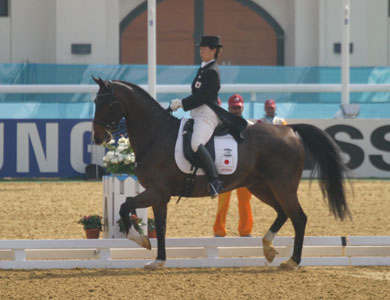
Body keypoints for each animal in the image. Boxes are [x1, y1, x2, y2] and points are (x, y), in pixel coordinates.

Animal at [91, 77, 350, 270]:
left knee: (298, 217)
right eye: (94, 101)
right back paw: (268, 248)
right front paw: (158, 260)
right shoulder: (159, 195)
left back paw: (292, 261)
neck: (156, 134)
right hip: (260, 186)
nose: (97, 137)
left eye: (108, 103)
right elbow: (160, 226)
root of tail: (288, 130)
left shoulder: (157, 191)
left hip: (282, 186)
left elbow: (125, 206)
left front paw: (141, 240)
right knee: (283, 213)